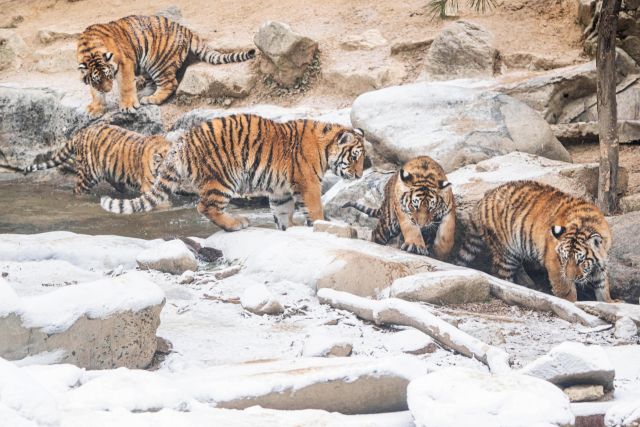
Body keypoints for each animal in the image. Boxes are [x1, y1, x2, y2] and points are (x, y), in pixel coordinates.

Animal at [80, 15, 258, 116]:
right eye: (97, 79)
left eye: (109, 76)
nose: (107, 90)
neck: (90, 50)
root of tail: (186, 29)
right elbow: (94, 92)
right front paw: (95, 108)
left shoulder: (125, 64)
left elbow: (125, 86)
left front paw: (128, 106)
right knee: (153, 84)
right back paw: (143, 94)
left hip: (157, 62)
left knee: (170, 84)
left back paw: (149, 99)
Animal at [97, 115, 362, 232]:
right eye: (355, 157)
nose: (360, 176)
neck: (324, 147)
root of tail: (182, 141)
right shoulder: (308, 183)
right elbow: (315, 209)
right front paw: (322, 224)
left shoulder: (281, 189)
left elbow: (282, 211)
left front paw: (290, 227)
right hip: (224, 177)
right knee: (206, 207)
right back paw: (236, 223)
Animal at [458, 181, 624, 304]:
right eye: (564, 258)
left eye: (581, 260)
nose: (571, 278)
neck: (585, 223)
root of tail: (481, 201)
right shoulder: (555, 264)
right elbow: (566, 290)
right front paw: (572, 303)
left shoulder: (601, 261)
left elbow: (603, 286)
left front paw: (610, 302)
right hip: (505, 251)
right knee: (500, 274)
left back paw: (528, 284)